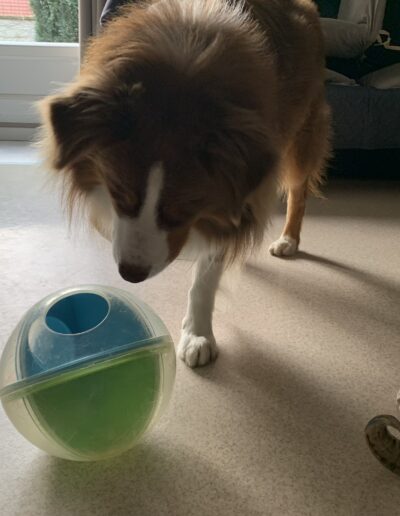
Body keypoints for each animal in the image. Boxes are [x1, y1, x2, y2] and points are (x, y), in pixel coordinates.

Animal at [39, 0, 331, 368]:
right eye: (119, 194)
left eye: (185, 210)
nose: (131, 275)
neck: (187, 63)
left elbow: (205, 278)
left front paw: (198, 335)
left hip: (301, 134)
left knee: (297, 191)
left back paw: (288, 239)